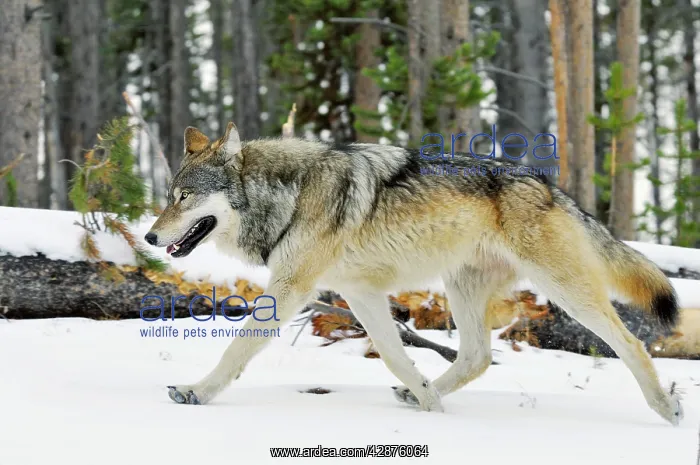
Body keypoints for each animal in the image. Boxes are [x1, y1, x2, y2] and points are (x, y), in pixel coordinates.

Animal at [145, 122, 683, 425]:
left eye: (183, 197)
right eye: (170, 196)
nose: (149, 237)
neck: (289, 195)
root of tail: (552, 188)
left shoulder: (292, 289)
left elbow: (236, 349)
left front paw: (195, 392)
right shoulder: (359, 294)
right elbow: (394, 355)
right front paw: (429, 404)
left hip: (565, 291)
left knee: (631, 343)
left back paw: (666, 407)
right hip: (461, 289)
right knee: (478, 357)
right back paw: (423, 394)